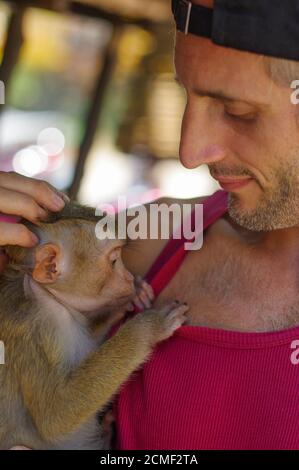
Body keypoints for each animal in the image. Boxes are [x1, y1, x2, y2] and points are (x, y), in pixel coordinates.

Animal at [0, 203, 188, 452]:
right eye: (114, 261)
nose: (129, 278)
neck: (46, 295)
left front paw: (132, 297)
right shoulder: (33, 330)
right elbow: (55, 415)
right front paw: (147, 328)